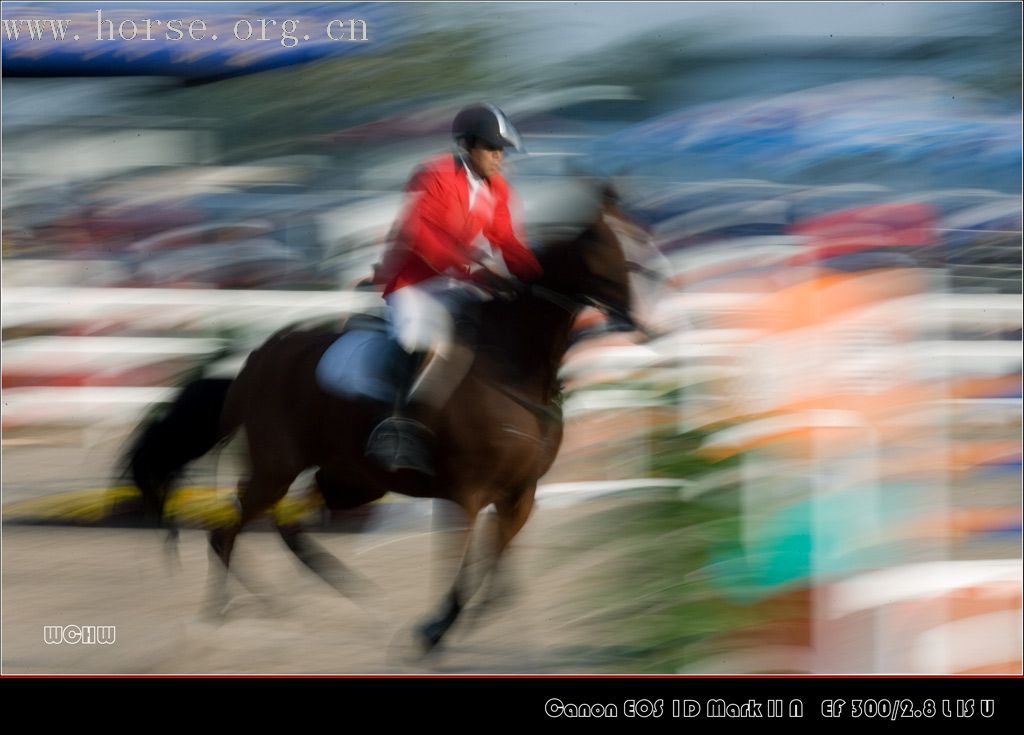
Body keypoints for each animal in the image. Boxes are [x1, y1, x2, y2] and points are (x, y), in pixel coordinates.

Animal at [123, 181, 643, 655]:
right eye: (602, 250)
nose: (633, 322)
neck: (515, 367)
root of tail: (255, 360)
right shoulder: (467, 493)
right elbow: (463, 568)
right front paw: (432, 632)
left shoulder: (520, 494)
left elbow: (497, 578)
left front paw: (465, 630)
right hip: (279, 465)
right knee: (229, 530)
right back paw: (220, 618)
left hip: (353, 477)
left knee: (289, 525)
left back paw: (340, 597)